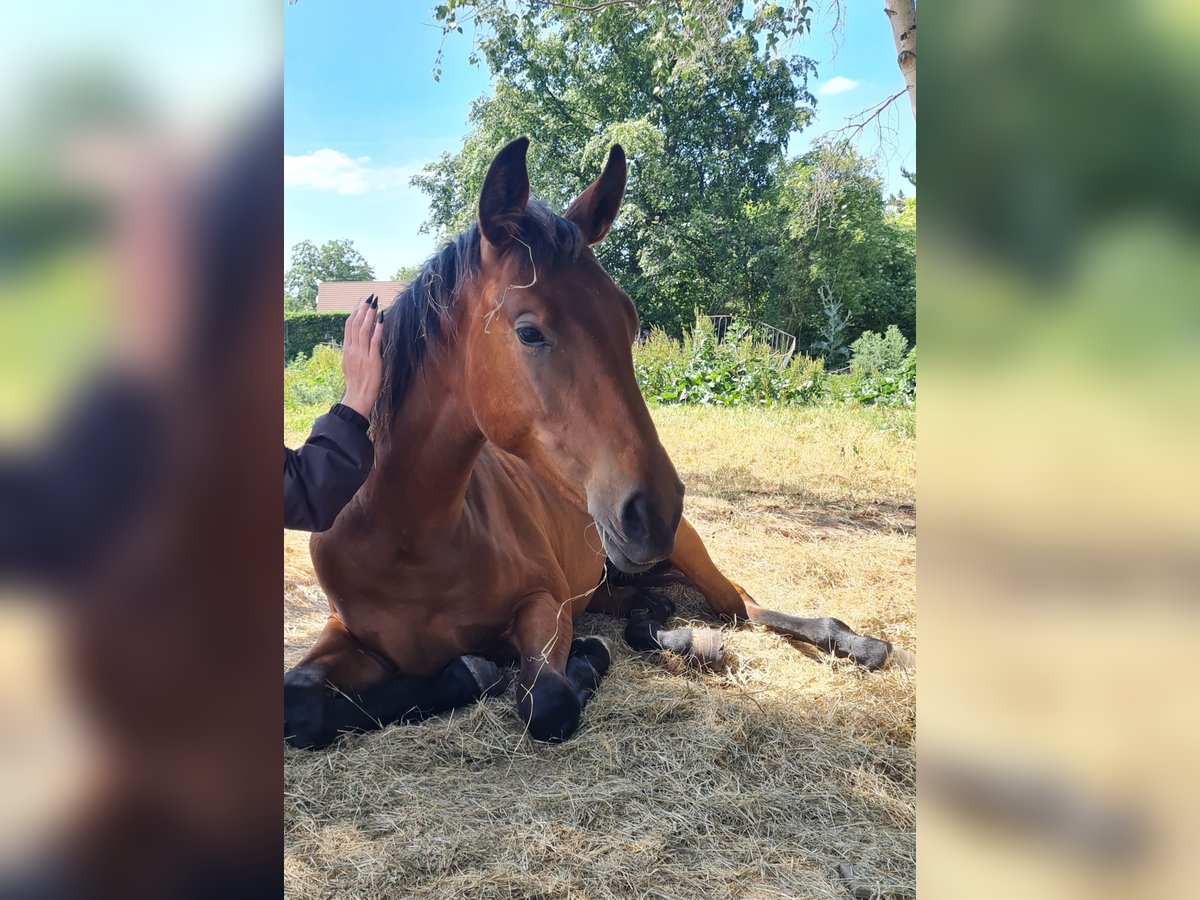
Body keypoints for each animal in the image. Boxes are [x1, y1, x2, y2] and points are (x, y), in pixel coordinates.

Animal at [285, 135, 912, 748]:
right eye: (529, 332)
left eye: (628, 321)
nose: (653, 509)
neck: (407, 537)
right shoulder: (346, 635)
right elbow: (301, 703)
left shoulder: (546, 604)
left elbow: (548, 700)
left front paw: (570, 665)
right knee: (653, 609)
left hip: (690, 556)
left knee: (741, 608)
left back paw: (852, 643)